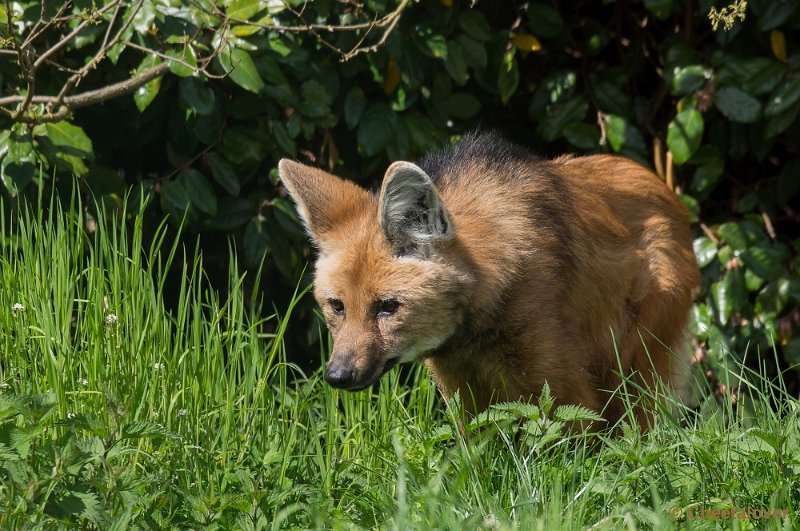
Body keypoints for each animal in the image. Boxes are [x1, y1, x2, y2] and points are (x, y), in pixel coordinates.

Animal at [280, 132, 700, 428]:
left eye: (387, 307)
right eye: (337, 307)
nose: (337, 376)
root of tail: (666, 192)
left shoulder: (562, 385)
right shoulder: (463, 386)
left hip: (628, 360)